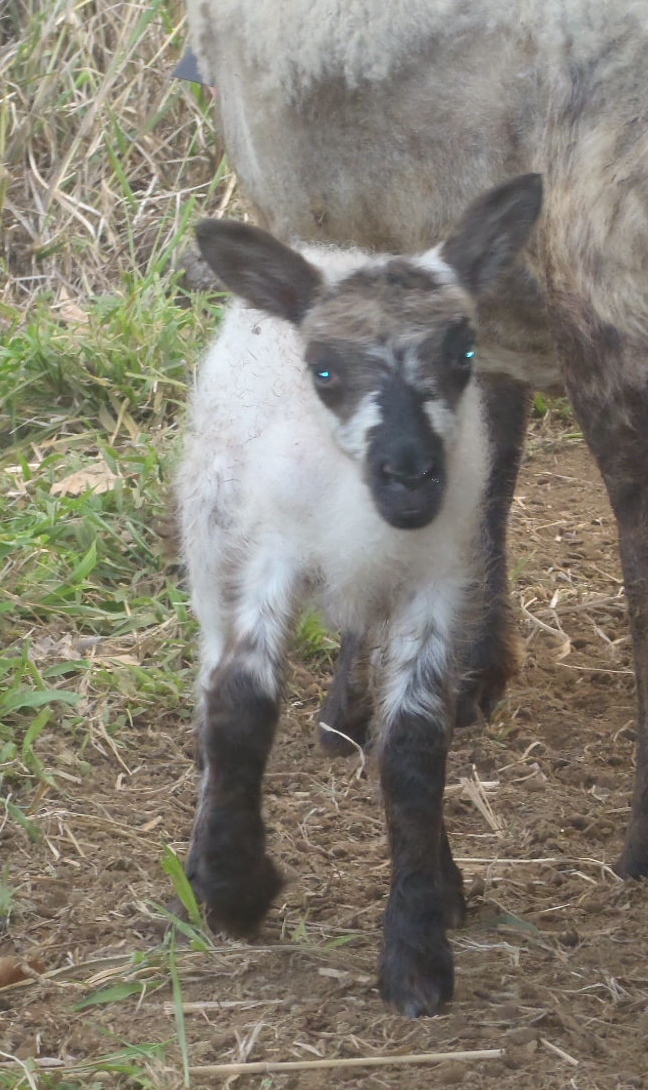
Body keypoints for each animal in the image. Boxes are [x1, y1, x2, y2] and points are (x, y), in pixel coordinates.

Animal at [176, 174, 538, 1015]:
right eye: (324, 371)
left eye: (464, 354)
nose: (410, 475)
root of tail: (331, 251)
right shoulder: (272, 550)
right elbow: (240, 705)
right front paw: (237, 889)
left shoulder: (437, 582)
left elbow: (414, 748)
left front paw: (417, 950)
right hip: (213, 542)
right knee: (209, 680)